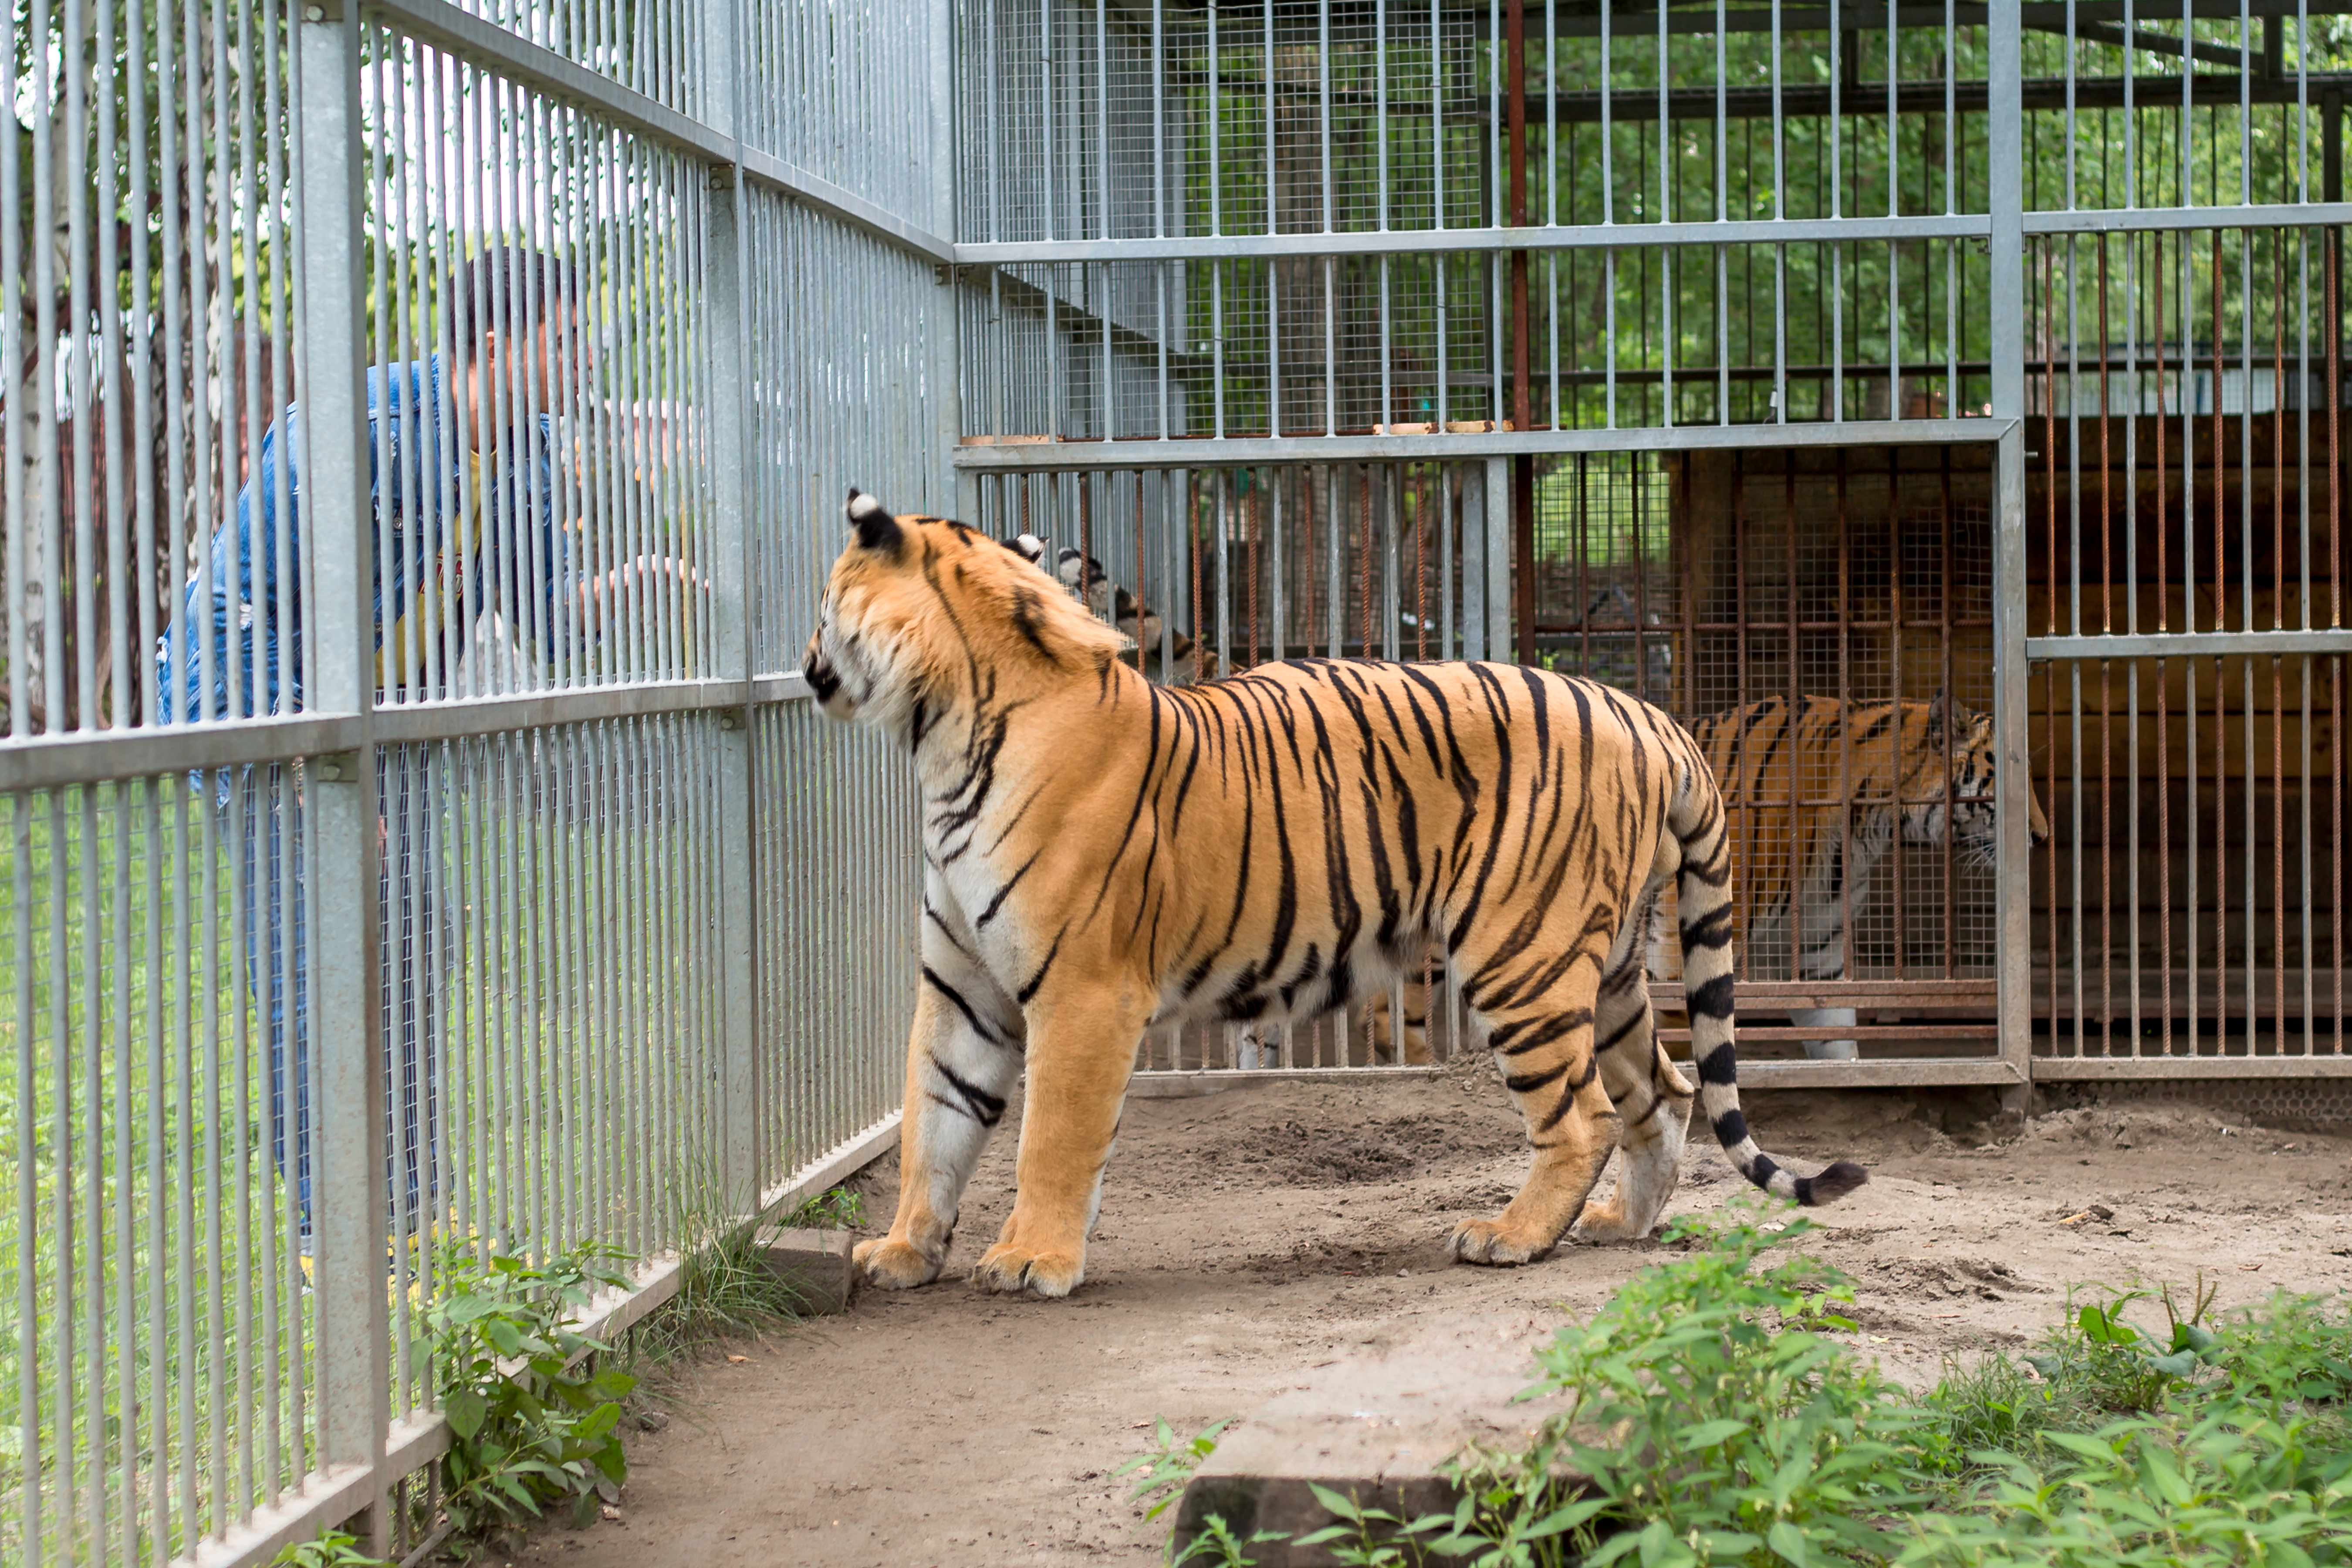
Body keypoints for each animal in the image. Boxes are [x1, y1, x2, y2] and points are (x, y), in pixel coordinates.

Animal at [800, 491, 1862, 1298]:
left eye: (824, 604)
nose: (809, 669)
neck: (942, 737)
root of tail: (1648, 714)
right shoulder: (962, 988)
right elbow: (933, 1123)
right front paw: (904, 1252)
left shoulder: (1084, 991)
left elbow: (1051, 1138)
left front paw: (1031, 1261)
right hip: (1604, 970)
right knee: (1671, 1092)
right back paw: (1619, 1227)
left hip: (1522, 955)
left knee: (1585, 1115)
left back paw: (1511, 1237)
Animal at [1260, 696, 2051, 1067]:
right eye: (2002, 786)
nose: (2043, 841)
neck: (1870, 820)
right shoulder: (1684, 934)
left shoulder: (1819, 950)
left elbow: (1839, 1043)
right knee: (1392, 1021)